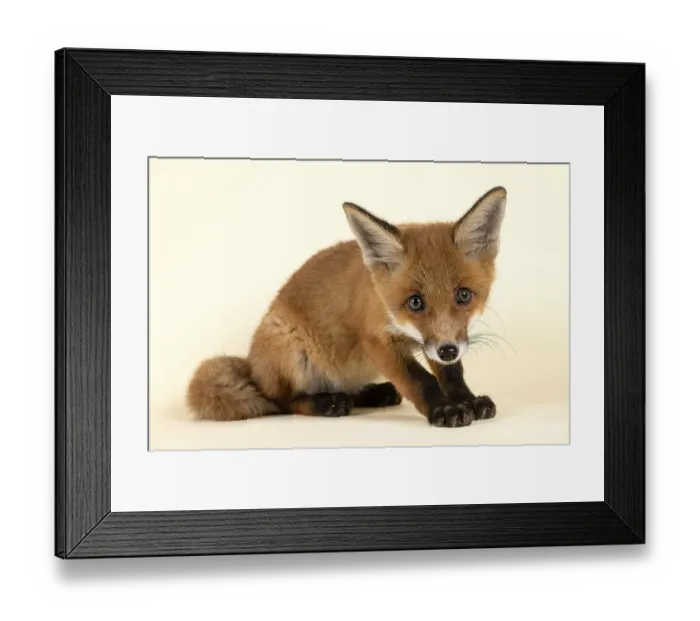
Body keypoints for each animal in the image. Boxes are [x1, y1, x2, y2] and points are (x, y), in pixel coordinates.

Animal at [186, 185, 507, 428]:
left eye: (463, 296)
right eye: (415, 302)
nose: (448, 351)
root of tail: (252, 366)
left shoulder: (439, 341)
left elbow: (451, 375)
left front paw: (467, 400)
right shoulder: (377, 340)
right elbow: (420, 379)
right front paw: (444, 409)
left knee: (344, 390)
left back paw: (372, 394)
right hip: (290, 349)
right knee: (279, 401)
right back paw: (326, 403)